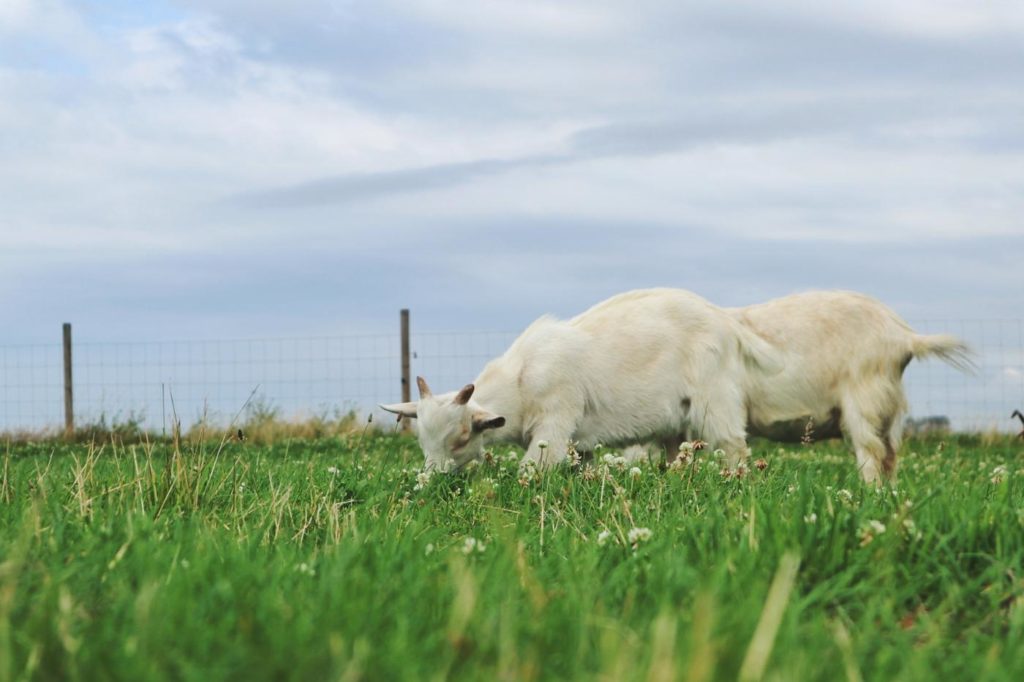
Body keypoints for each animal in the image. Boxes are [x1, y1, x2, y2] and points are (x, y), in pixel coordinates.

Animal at [380, 286, 970, 483]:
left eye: (461, 437)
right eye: (423, 439)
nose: (429, 483)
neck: (523, 377)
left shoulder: (554, 423)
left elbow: (531, 472)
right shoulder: (579, 440)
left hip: (831, 405)